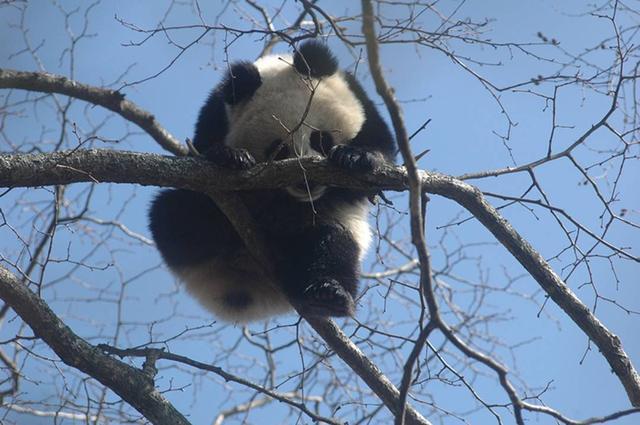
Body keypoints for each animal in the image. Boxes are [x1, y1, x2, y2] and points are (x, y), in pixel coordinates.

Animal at [148, 41, 396, 322]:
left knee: (333, 245)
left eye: (320, 139)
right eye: (279, 149)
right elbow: (202, 156)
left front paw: (355, 157)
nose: (307, 183)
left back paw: (329, 294)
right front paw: (231, 157)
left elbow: (380, 150)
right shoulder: (215, 117)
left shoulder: (362, 104)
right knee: (175, 214)